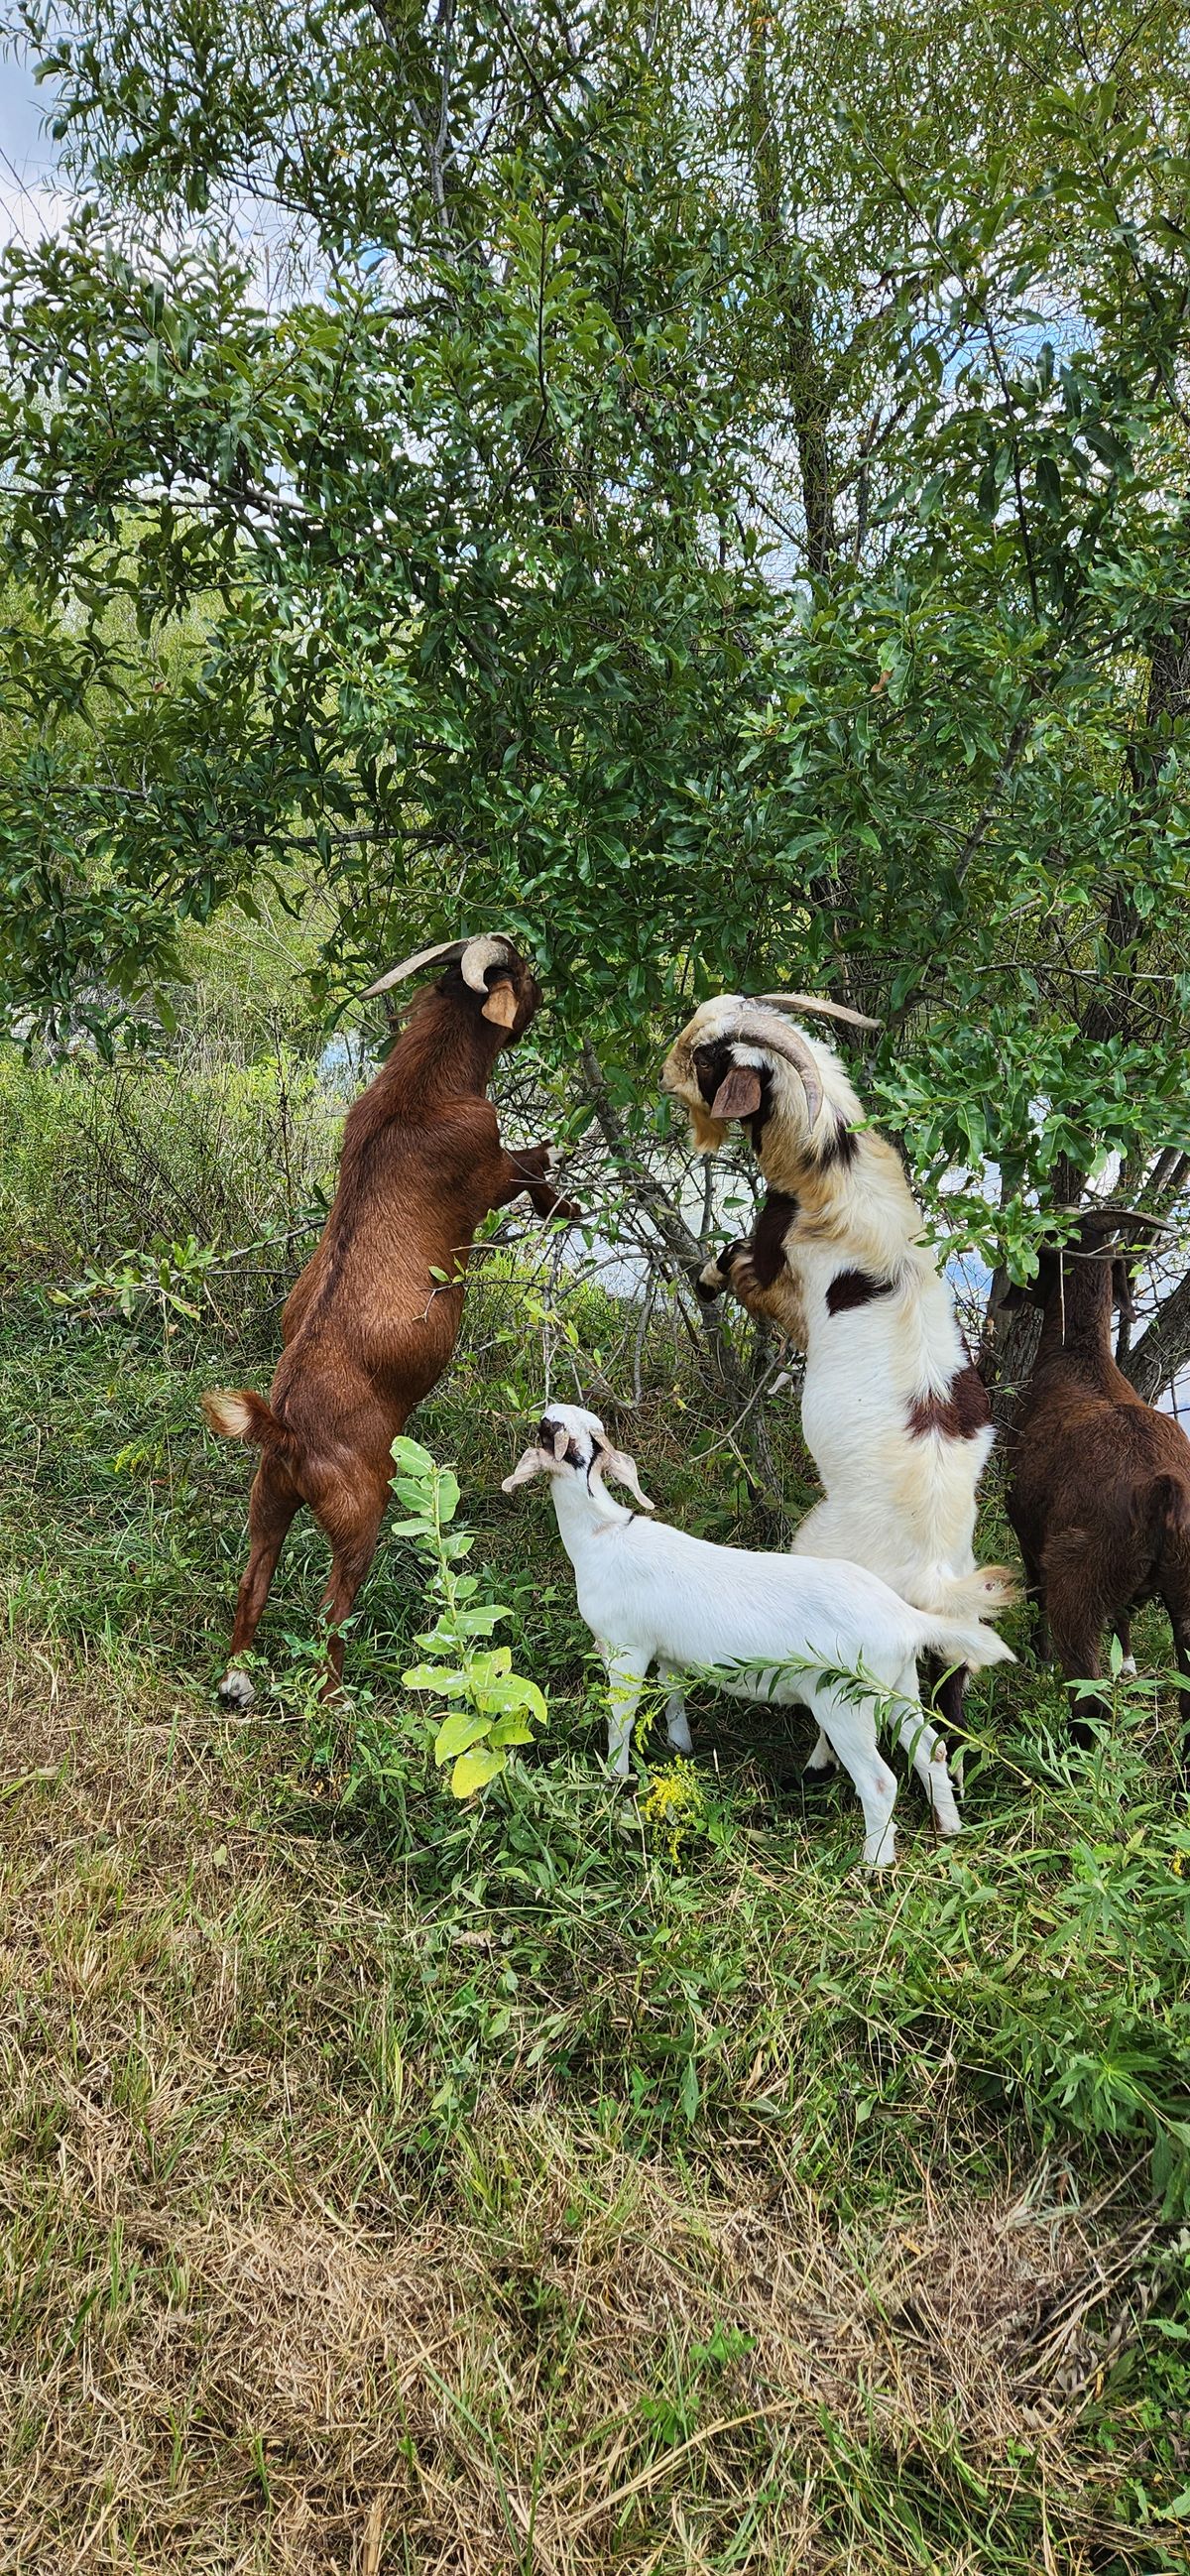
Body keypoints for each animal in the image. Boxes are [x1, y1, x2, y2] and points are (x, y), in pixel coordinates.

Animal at [203, 933, 579, 1704]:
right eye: (522, 975)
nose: (546, 991)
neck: (421, 1087)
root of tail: (284, 1429)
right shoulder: (489, 1163)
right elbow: (531, 1168)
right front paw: (572, 1198)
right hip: (361, 1513)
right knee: (332, 1608)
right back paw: (335, 1696)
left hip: (267, 1503)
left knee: (253, 1581)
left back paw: (238, 1677)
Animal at [503, 1402, 1013, 1870]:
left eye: (550, 1430)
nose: (544, 1413)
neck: (601, 1536)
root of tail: (906, 1618)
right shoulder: (667, 1651)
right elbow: (672, 1696)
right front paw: (681, 1747)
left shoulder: (624, 1648)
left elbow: (621, 1718)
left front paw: (614, 1781)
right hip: (897, 1685)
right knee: (932, 1750)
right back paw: (948, 1827)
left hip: (843, 1704)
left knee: (879, 1781)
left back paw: (873, 1864)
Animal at [662, 993, 1013, 1767]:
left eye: (710, 1057)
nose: (666, 1073)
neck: (834, 1165)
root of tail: (932, 1570)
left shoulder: (774, 1263)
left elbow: (734, 1261)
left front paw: (703, 1281)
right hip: (956, 1619)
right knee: (950, 1689)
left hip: (823, 1566)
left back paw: (817, 1759)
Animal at [1002, 1207, 1190, 1752]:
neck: (1078, 1357)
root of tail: (1162, 1490)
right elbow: (1124, 1622)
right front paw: (1128, 1664)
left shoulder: (1029, 1533)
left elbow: (1036, 1594)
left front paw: (1038, 1661)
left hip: (1079, 1584)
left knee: (1090, 1704)